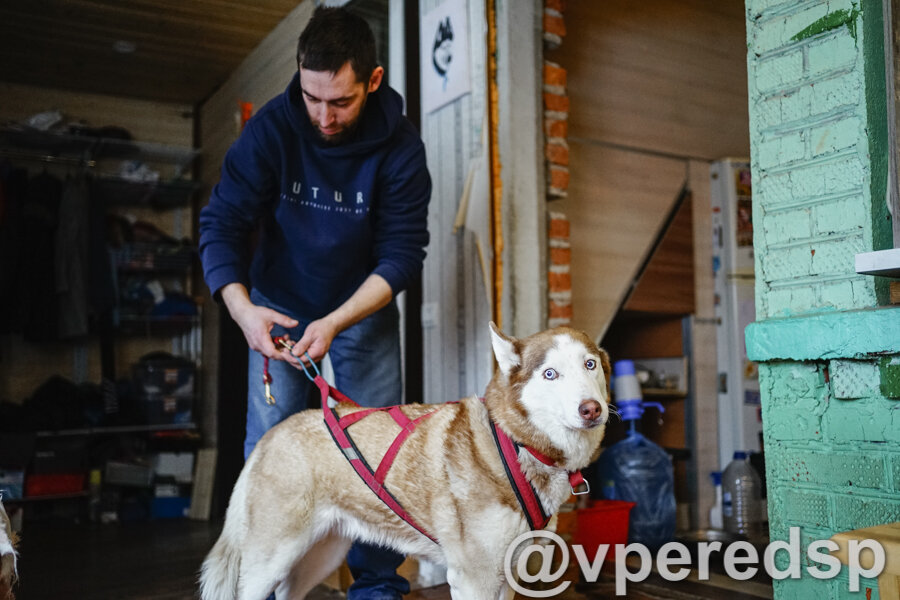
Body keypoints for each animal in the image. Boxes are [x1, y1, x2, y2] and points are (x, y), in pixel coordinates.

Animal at [202, 324, 612, 600]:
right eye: (550, 374)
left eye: (590, 364)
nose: (591, 409)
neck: (517, 445)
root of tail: (274, 433)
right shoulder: (474, 576)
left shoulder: (507, 572)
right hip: (271, 558)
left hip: (322, 553)